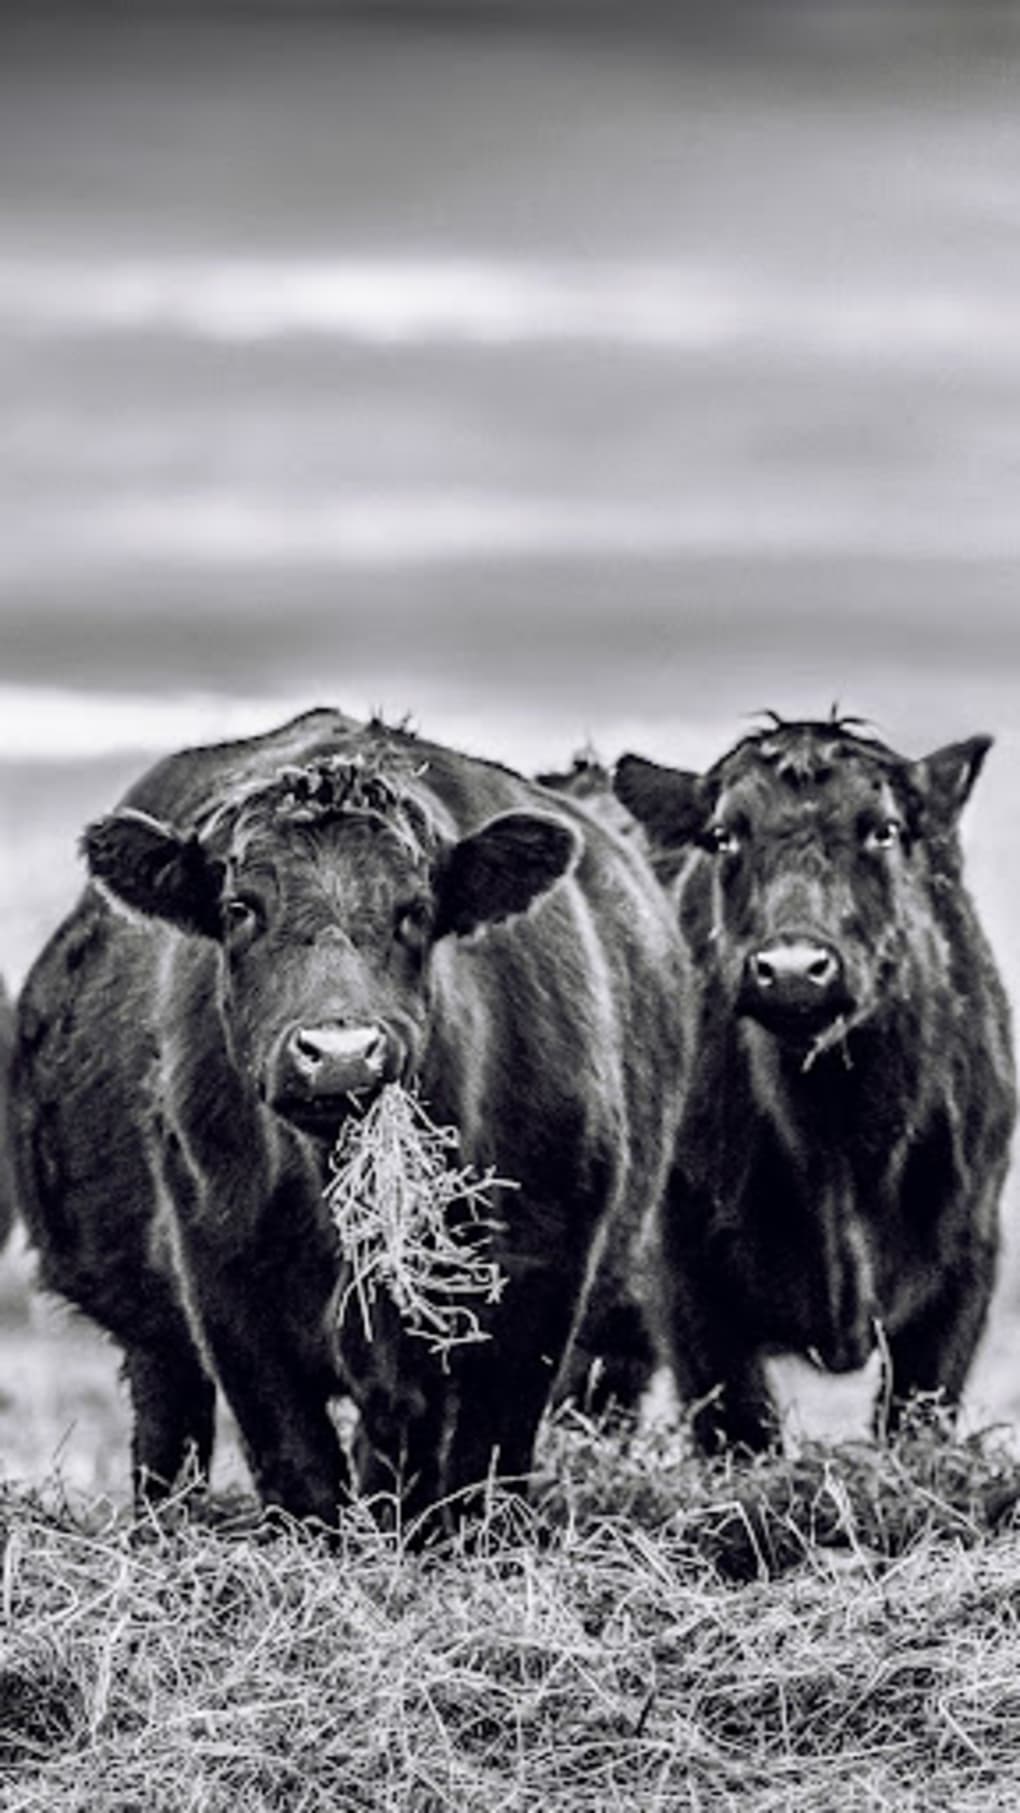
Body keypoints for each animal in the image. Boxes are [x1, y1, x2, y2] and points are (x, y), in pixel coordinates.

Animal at [12, 708, 684, 1525]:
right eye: (240, 908)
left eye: (415, 911)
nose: (339, 1053)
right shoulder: (226, 1289)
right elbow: (300, 1468)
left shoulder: (540, 1279)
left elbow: (482, 1469)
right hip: (158, 1339)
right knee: (170, 1433)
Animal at [613, 716, 1016, 1452]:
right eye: (725, 834)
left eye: (883, 829)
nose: (795, 969)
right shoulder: (686, 1274)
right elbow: (738, 1428)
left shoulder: (965, 1260)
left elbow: (915, 1415)